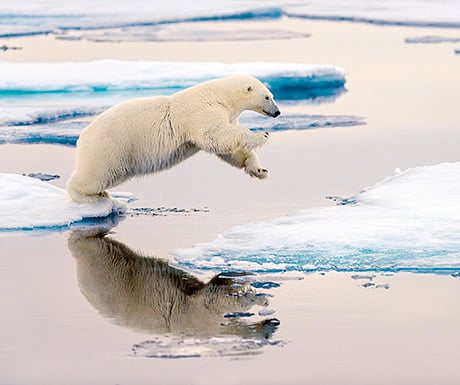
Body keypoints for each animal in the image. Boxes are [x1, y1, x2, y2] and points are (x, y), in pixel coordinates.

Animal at [66, 74, 278, 201]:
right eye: (267, 97)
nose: (277, 112)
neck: (221, 96)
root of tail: (82, 136)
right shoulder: (203, 112)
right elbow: (216, 136)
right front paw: (262, 134)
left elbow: (230, 149)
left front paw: (260, 170)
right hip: (111, 147)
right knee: (97, 173)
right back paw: (89, 195)